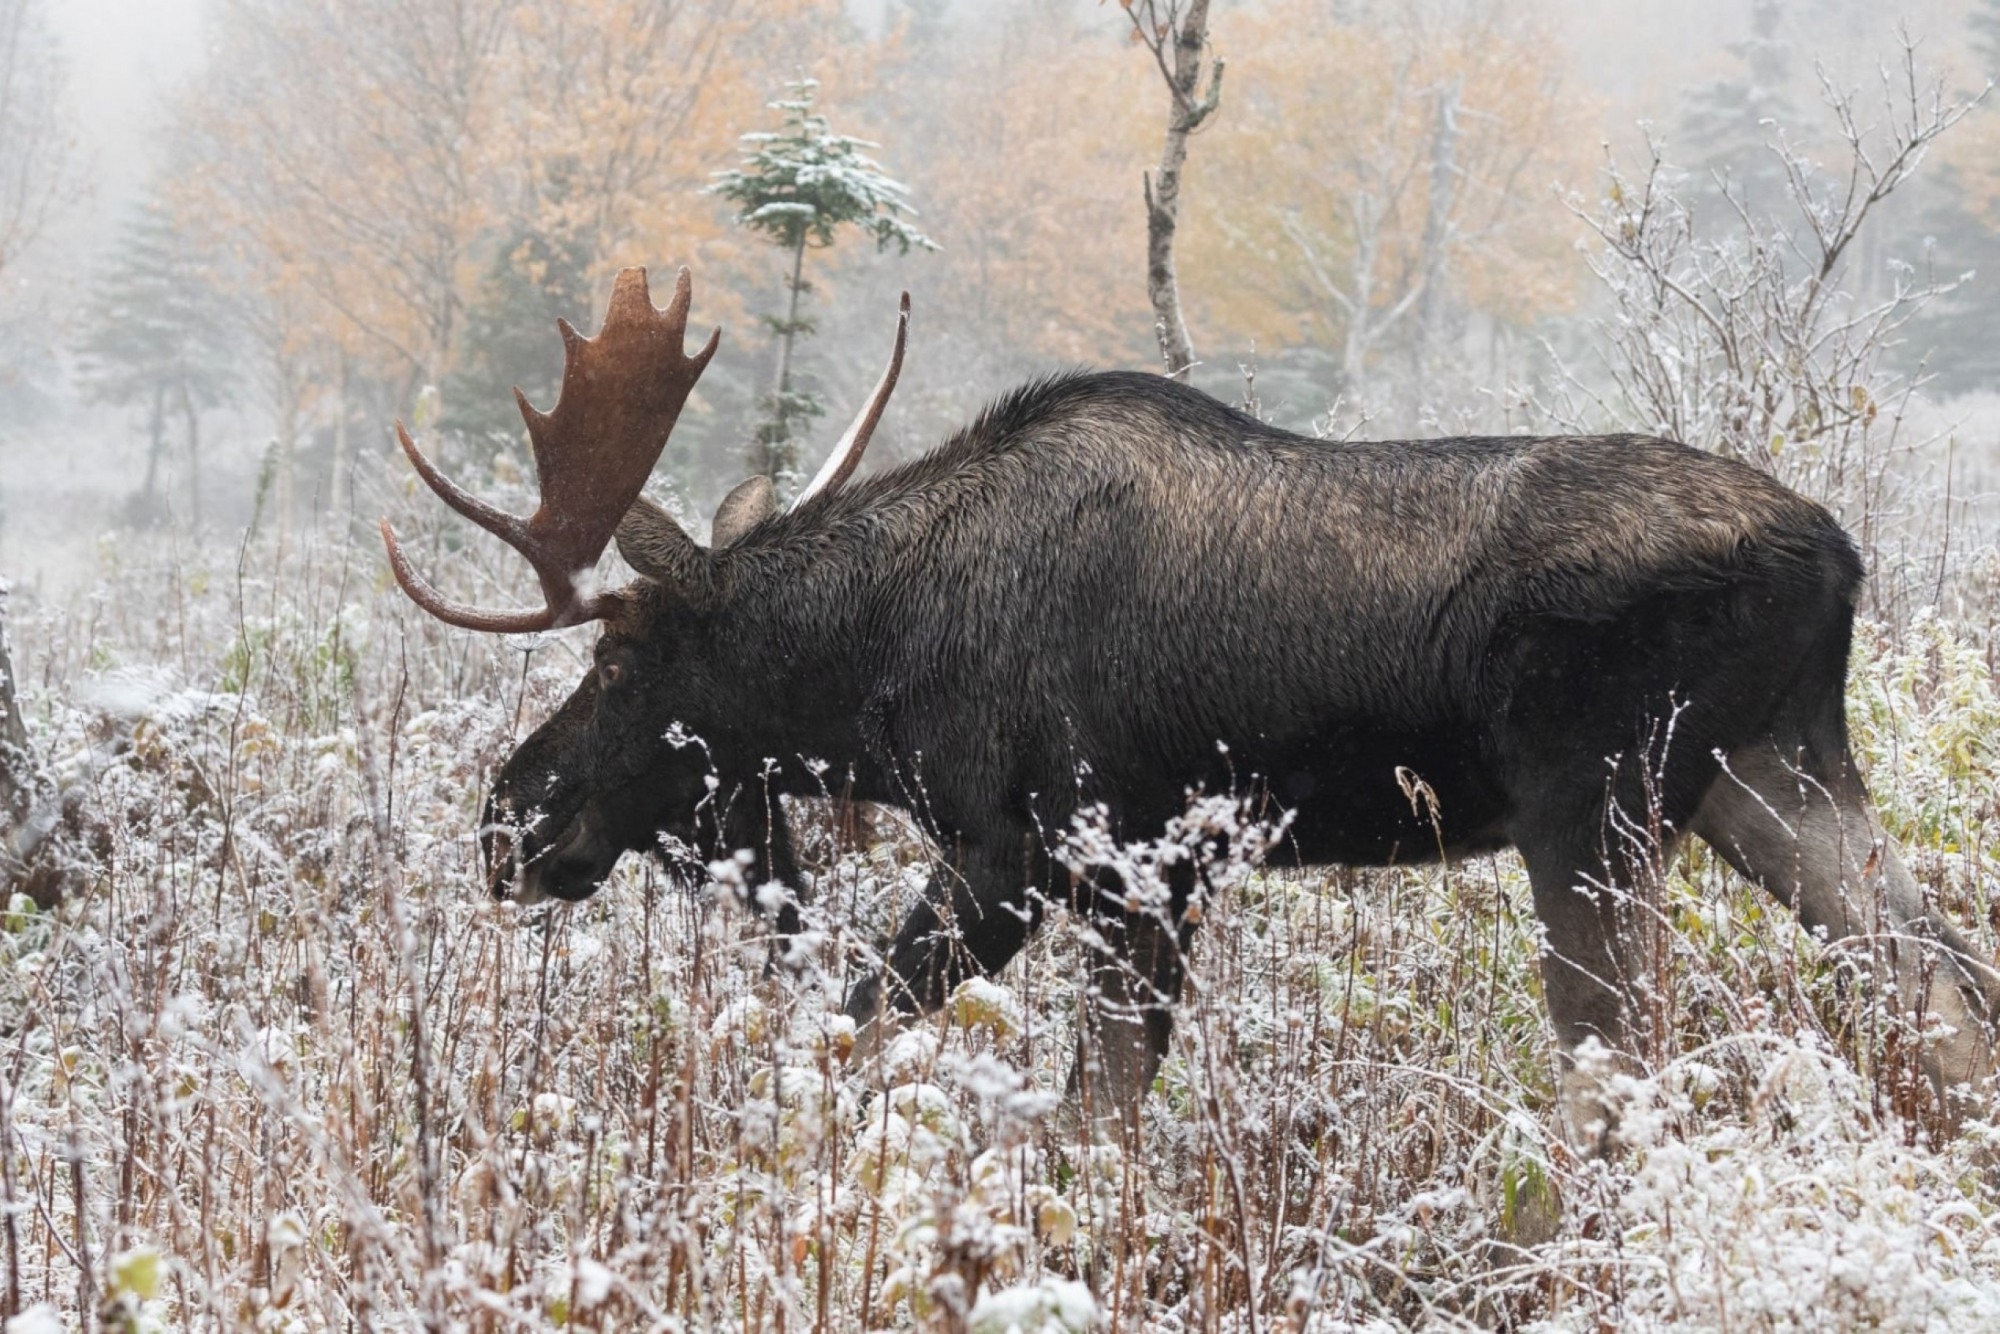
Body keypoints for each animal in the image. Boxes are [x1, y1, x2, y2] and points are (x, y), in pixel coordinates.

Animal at [382, 266, 1992, 1144]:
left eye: (616, 662)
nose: (508, 817)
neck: (878, 665)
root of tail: (1834, 554)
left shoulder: (1055, 848)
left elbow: (927, 1051)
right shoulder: (1154, 865)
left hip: (1595, 800)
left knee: (1626, 1064)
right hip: (1770, 770)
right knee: (1944, 991)